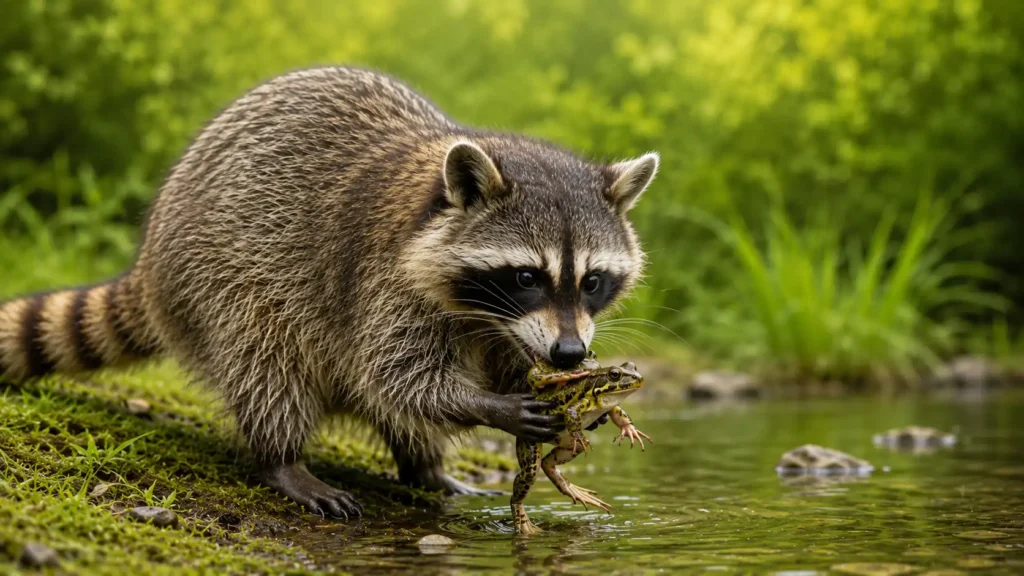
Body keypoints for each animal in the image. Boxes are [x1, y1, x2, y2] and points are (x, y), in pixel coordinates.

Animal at [0, 67, 657, 518]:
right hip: (219, 275)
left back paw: (423, 465)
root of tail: (150, 256)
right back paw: (283, 459)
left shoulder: (508, 326)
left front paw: (546, 386)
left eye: (592, 281)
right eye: (526, 277)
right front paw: (493, 405)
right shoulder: (383, 281)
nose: (570, 354)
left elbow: (472, 372)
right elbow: (397, 377)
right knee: (267, 360)